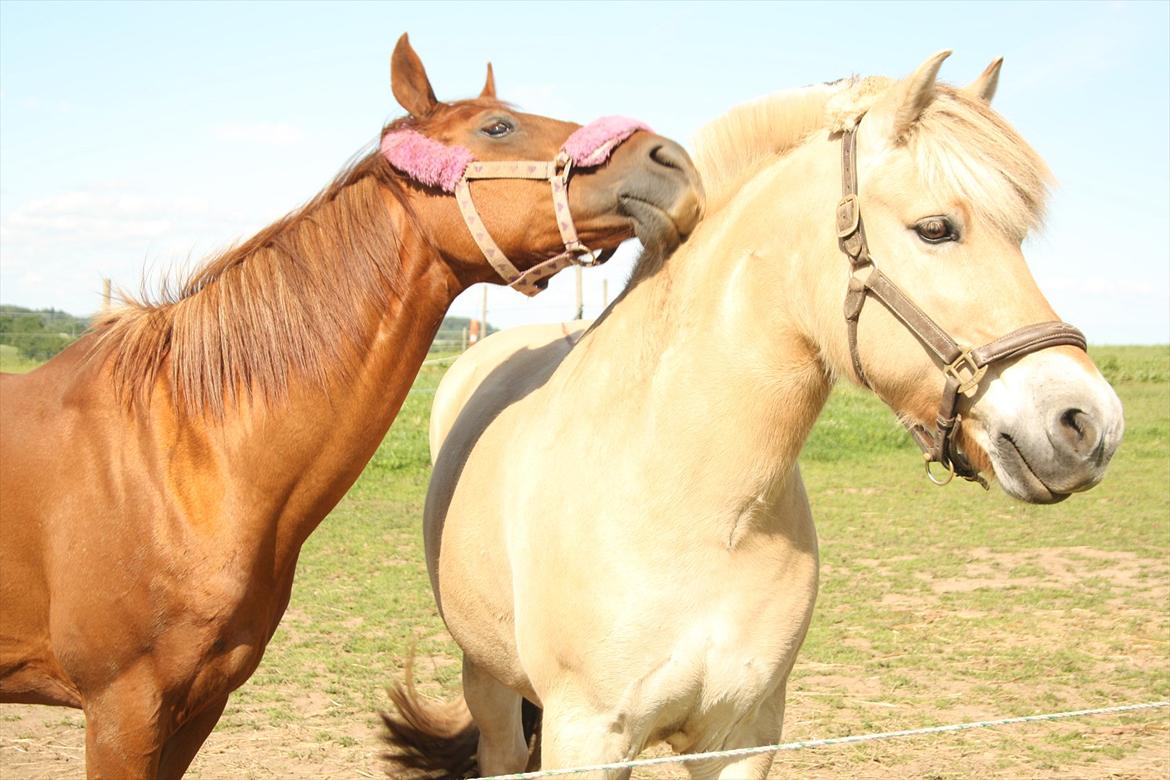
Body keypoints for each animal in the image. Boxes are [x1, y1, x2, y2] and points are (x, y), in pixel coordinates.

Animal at [383, 51, 1123, 776]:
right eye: (936, 229)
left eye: (1018, 237)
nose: (1089, 424)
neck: (695, 506)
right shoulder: (589, 737)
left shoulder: (745, 732)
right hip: (489, 683)